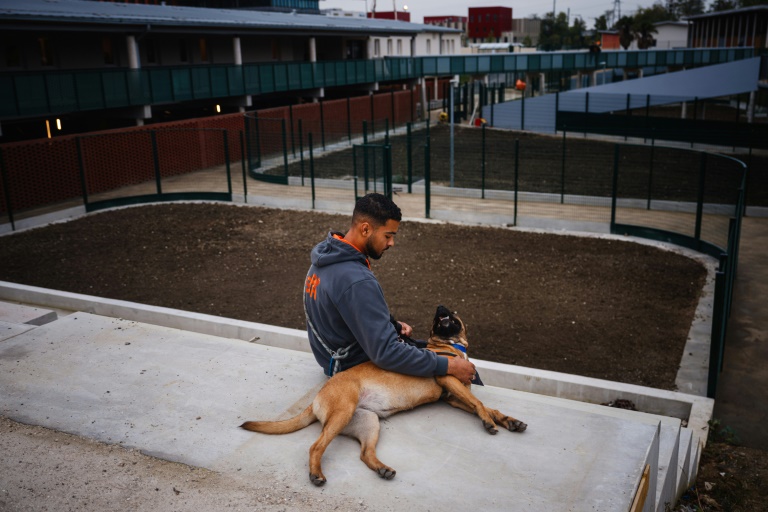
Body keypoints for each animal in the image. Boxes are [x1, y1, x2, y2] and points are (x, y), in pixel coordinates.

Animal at [242, 306, 528, 486]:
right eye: (439, 316)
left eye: (454, 313)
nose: (440, 307)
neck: (449, 345)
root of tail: (315, 400)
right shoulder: (449, 381)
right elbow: (481, 403)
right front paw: (489, 422)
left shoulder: (453, 397)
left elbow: (487, 406)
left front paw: (508, 420)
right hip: (343, 412)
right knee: (316, 446)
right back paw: (316, 474)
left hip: (368, 423)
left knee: (364, 454)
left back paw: (382, 468)